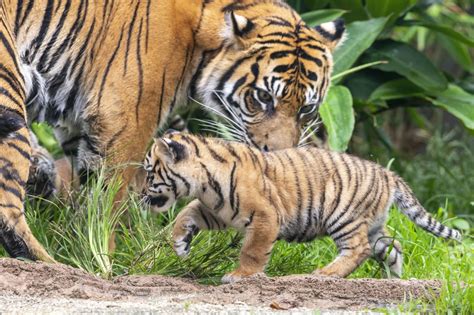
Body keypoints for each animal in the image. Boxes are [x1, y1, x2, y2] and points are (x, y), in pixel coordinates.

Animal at [0, 0, 344, 262]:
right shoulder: (124, 122)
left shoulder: (78, 127)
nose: (280, 156)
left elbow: (91, 194)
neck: (200, 41)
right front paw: (106, 259)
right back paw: (53, 264)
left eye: (306, 109)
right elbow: (110, 200)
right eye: (263, 97)